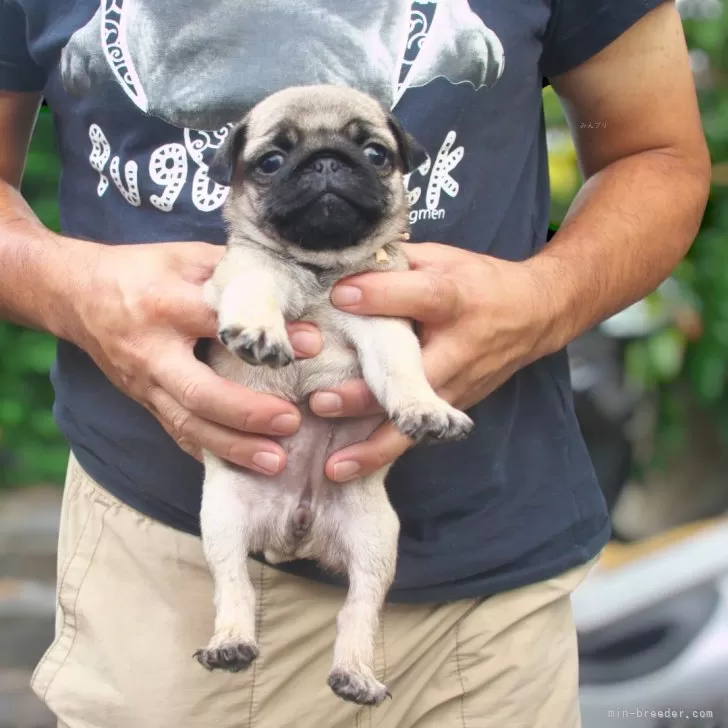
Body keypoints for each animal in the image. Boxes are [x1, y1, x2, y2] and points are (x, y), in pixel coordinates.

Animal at [196, 85, 474, 704]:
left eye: (374, 153)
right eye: (271, 161)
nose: (326, 162)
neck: (321, 270)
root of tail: (296, 530)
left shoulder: (382, 321)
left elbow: (402, 369)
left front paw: (427, 409)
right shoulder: (247, 271)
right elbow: (255, 291)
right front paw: (261, 333)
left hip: (376, 541)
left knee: (359, 611)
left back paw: (355, 675)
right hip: (223, 517)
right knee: (234, 585)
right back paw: (230, 642)